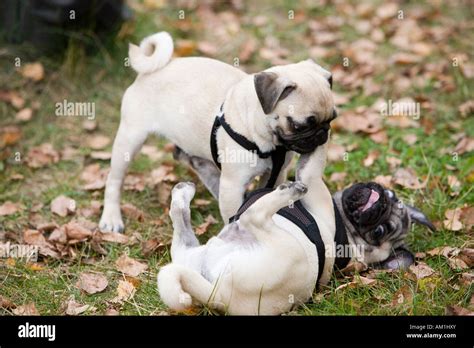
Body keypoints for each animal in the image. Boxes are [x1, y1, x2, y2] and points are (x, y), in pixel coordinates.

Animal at [98, 31, 334, 232]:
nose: (322, 134)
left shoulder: (276, 174)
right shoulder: (233, 184)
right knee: (114, 180)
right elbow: (233, 212)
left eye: (331, 119)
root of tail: (155, 69)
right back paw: (111, 218)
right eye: (300, 126)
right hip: (130, 138)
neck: (265, 137)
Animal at [158, 143, 434, 316]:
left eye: (379, 232)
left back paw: (288, 192)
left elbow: (314, 160)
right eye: (393, 195)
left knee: (254, 217)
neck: (349, 234)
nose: (381, 204)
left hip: (284, 247)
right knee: (181, 226)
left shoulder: (313, 181)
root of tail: (220, 295)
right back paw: (183, 193)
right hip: (192, 256)